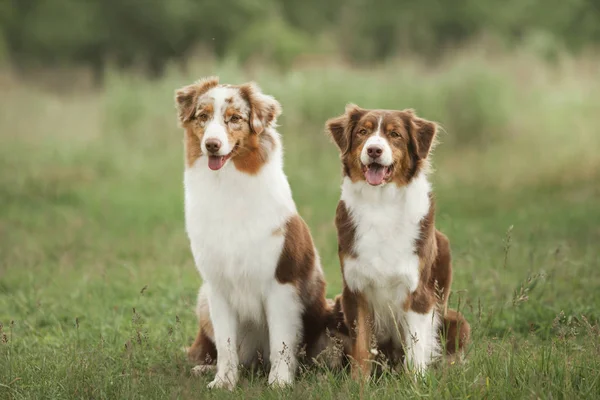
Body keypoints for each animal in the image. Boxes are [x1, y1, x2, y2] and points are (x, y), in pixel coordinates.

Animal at [175, 76, 342, 390]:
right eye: (203, 117)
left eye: (235, 119)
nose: (212, 145)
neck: (227, 185)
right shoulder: (217, 286)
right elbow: (226, 344)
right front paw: (224, 382)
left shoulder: (281, 283)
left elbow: (281, 343)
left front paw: (280, 383)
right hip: (203, 298)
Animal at [326, 105, 472, 378]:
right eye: (362, 132)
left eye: (395, 135)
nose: (374, 149)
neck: (381, 204)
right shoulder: (355, 291)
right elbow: (361, 348)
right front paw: (357, 384)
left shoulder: (418, 293)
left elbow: (416, 351)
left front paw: (417, 382)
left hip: (457, 322)